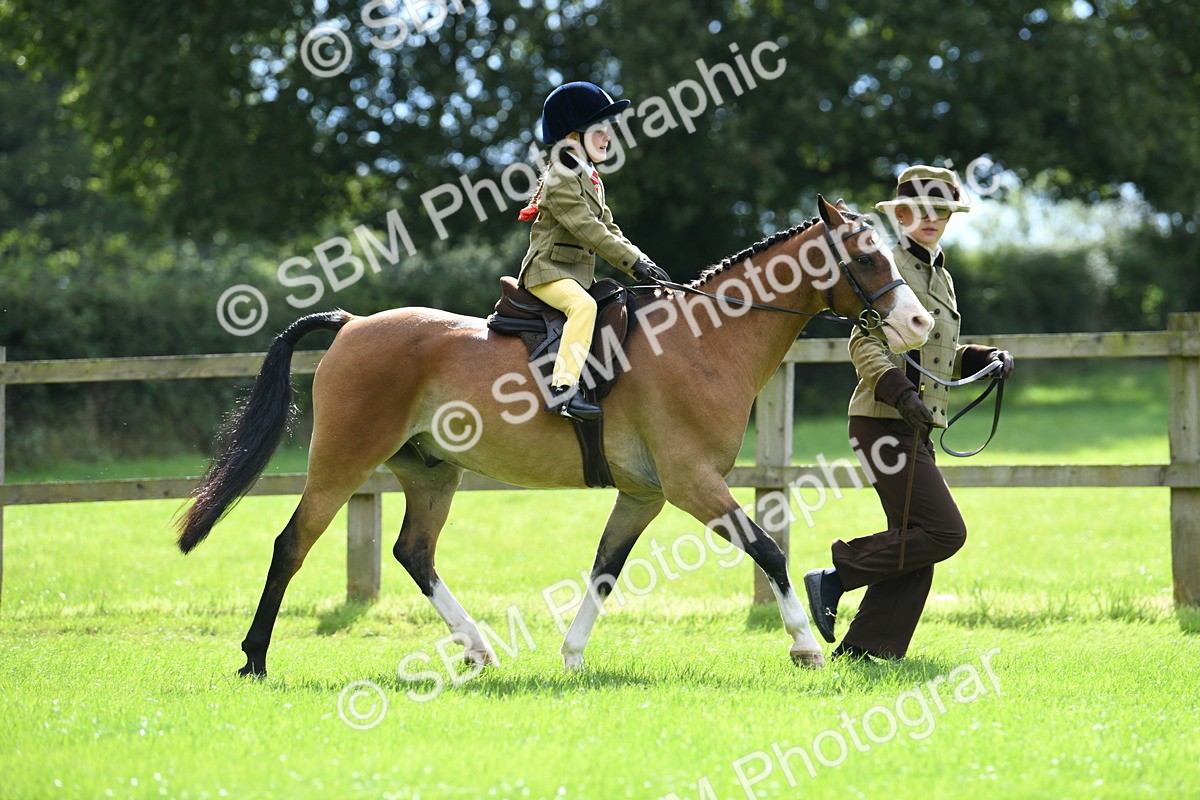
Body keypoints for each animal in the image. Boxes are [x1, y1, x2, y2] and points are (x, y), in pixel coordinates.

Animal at [177, 196, 933, 677]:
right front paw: (806, 645)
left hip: (430, 472)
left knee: (414, 552)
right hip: (342, 462)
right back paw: (254, 657)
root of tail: (354, 322)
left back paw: (478, 649)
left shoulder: (644, 495)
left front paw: (571, 656)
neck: (704, 339)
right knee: (292, 545)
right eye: (867, 258)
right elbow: (768, 550)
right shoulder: (692, 483)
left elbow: (604, 569)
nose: (920, 324)